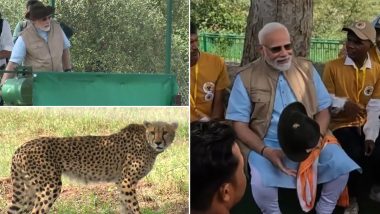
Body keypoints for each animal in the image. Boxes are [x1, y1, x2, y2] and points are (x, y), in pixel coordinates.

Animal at [6, 120, 178, 214]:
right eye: (153, 132)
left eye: (165, 132)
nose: (159, 142)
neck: (147, 143)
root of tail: (20, 147)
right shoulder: (126, 182)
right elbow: (134, 207)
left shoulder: (121, 183)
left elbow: (126, 207)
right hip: (50, 186)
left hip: (30, 190)